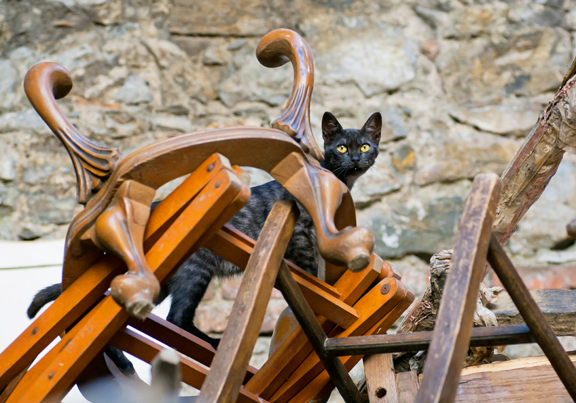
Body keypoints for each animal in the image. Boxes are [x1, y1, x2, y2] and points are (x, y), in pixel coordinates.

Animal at [27, 111, 382, 372]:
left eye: (364, 146)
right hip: (195, 269)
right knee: (176, 318)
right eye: (341, 147)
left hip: (162, 279)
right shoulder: (300, 238)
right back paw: (210, 343)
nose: (354, 158)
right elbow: (313, 276)